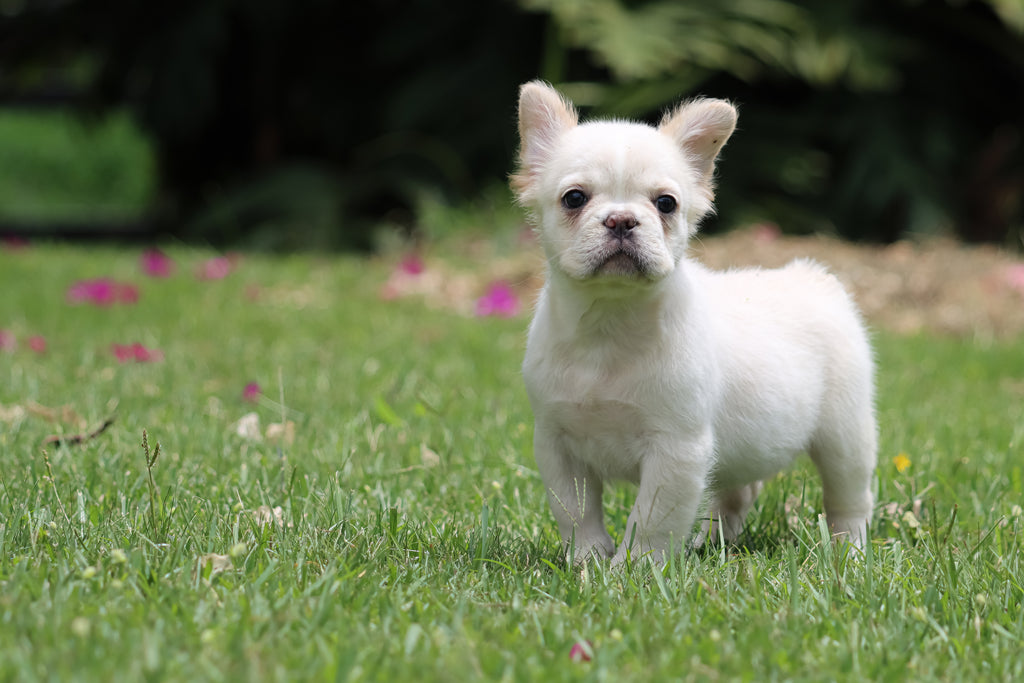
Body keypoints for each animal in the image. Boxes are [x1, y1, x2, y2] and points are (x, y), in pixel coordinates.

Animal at [507, 81, 876, 565]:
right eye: (574, 198)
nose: (622, 219)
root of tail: (813, 276)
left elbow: (650, 519)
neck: (610, 322)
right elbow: (575, 510)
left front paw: (632, 569)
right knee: (738, 491)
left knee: (849, 499)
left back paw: (848, 552)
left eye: (666, 204)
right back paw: (717, 543)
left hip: (845, 435)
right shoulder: (558, 444)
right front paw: (587, 560)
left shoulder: (675, 451)